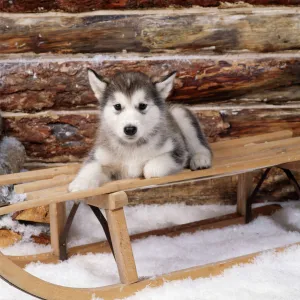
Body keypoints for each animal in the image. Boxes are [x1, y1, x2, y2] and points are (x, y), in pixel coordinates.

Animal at [69, 70, 212, 192]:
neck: (132, 147)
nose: (130, 129)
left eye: (142, 105)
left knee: (200, 145)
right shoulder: (100, 155)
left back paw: (200, 158)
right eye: (117, 106)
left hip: (180, 114)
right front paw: (81, 182)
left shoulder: (177, 149)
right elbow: (92, 165)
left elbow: (151, 168)